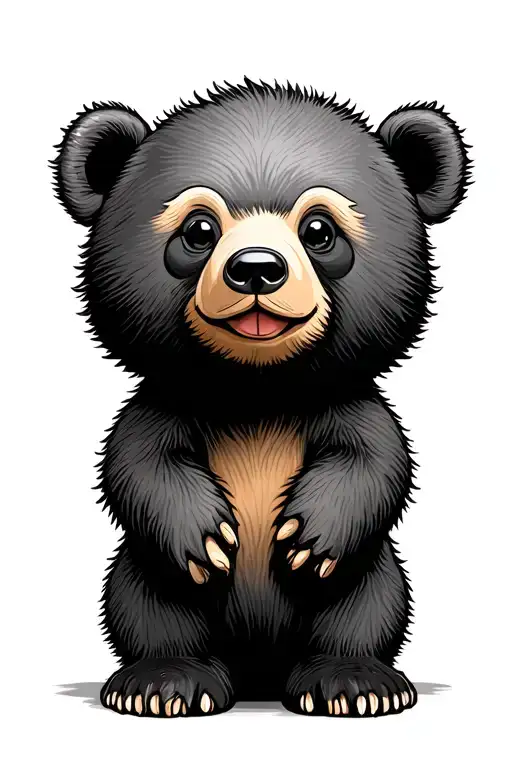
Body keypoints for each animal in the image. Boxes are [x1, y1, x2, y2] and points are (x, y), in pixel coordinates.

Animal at [52, 78, 470, 718]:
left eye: (319, 230)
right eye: (199, 230)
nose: (255, 268)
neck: (257, 392)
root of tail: (259, 674)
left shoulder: (347, 403)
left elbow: (376, 464)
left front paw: (308, 536)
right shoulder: (165, 404)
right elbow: (136, 466)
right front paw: (206, 537)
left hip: (371, 573)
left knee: (366, 603)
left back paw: (352, 682)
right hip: (142, 574)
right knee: (148, 605)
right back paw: (166, 682)